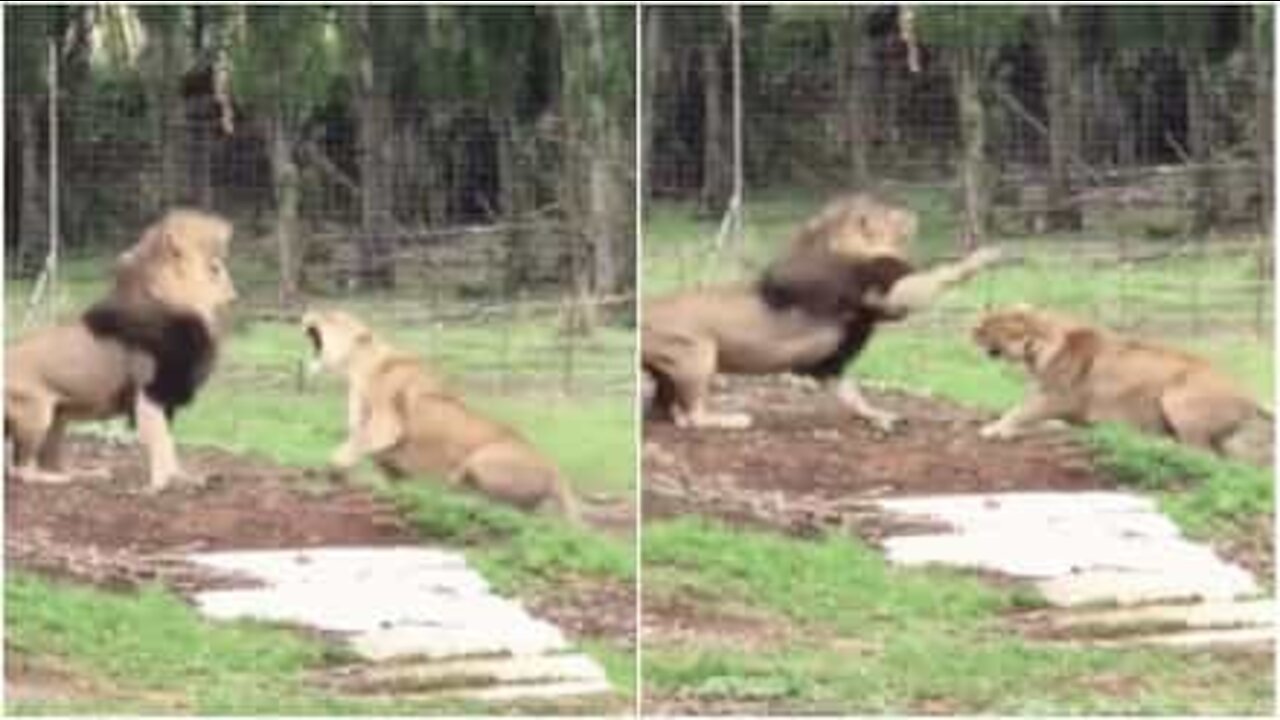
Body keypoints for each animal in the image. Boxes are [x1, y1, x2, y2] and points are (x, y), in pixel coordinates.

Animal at [7, 207, 236, 486]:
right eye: (215, 268)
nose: (233, 295)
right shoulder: (151, 391)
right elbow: (160, 442)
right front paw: (160, 486)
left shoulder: (167, 397)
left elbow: (170, 445)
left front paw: (185, 478)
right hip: (36, 414)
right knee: (20, 471)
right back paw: (60, 480)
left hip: (59, 417)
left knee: (51, 462)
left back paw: (88, 473)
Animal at [302, 308, 578, 515]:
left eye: (331, 316)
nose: (307, 311)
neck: (356, 367)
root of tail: (558, 474)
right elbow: (381, 468)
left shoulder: (388, 424)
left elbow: (348, 448)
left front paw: (328, 474)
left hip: (483, 458)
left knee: (500, 505)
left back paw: (453, 495)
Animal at [640, 192, 998, 425]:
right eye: (888, 212)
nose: (911, 212)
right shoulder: (884, 291)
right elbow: (937, 276)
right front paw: (984, 256)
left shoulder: (830, 361)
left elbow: (850, 393)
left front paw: (877, 415)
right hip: (698, 355)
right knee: (692, 417)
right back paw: (732, 419)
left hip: (672, 371)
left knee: (666, 410)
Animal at [972, 302, 1264, 458]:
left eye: (992, 321)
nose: (971, 329)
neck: (1036, 348)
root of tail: (1250, 396)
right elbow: (1030, 415)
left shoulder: (1058, 398)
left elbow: (1020, 411)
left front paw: (995, 429)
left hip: (1179, 398)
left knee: (1200, 454)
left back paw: (1151, 443)